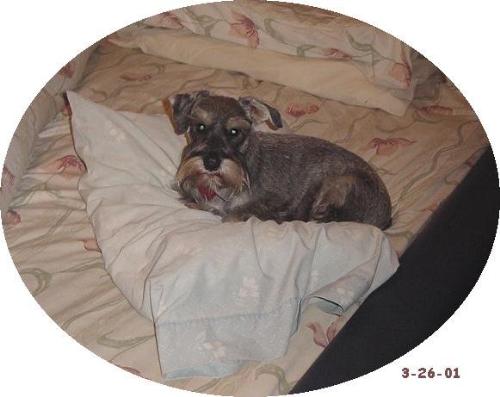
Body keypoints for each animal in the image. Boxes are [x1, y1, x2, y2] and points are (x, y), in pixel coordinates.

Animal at [164, 88, 390, 227]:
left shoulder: (272, 204)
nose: (211, 162)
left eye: (235, 132)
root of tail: (386, 218)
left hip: (340, 183)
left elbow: (233, 215)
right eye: (200, 127)